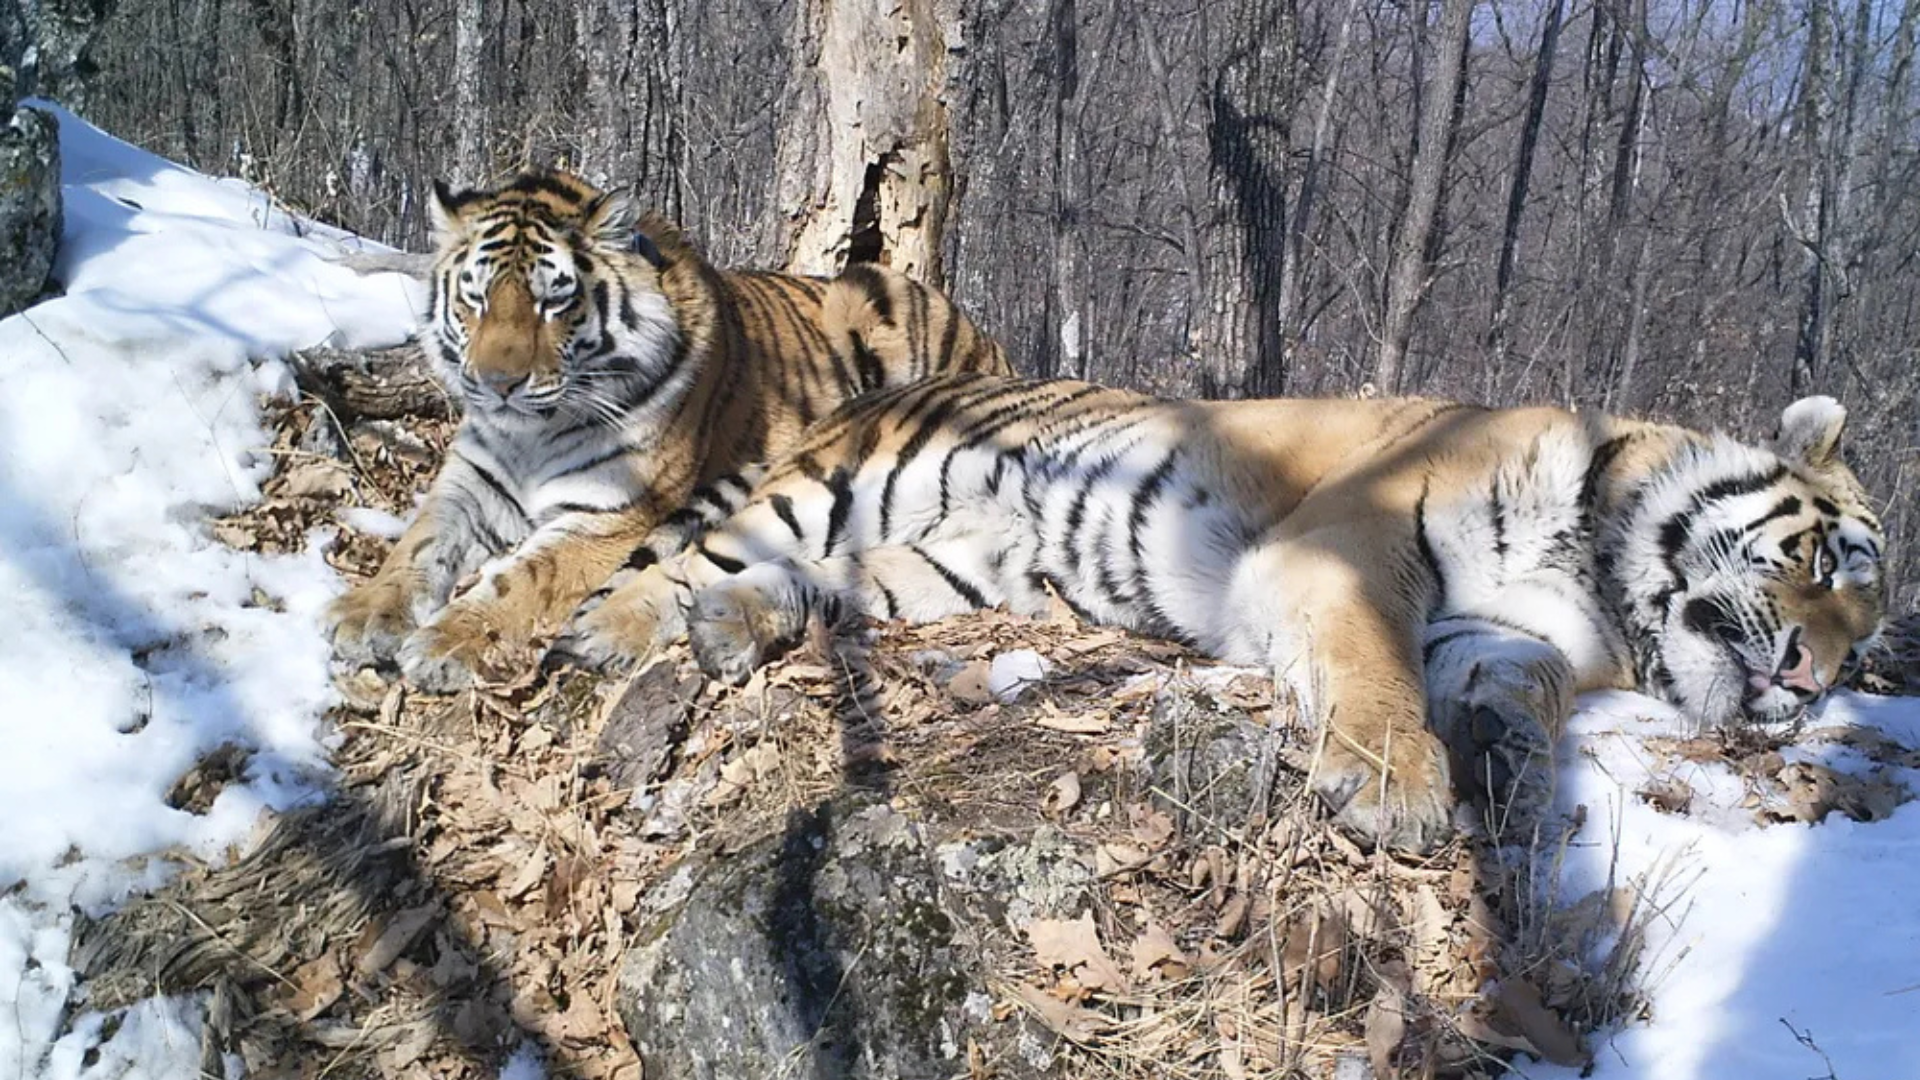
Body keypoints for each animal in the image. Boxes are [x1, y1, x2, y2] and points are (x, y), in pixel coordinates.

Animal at [326, 170, 1021, 687]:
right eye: (476, 297)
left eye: (553, 300)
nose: (497, 384)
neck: (531, 435)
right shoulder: (470, 482)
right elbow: (417, 544)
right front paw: (363, 614)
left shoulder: (607, 515)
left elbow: (520, 581)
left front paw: (445, 642)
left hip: (872, 298)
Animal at [549, 374, 1881, 853]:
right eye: (1826, 563)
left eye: (1868, 638)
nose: (1816, 681)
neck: (1599, 570)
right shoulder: (1348, 546)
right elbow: (1375, 669)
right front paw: (1395, 790)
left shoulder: (1508, 630)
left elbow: (1521, 685)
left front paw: (1507, 758)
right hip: (839, 487)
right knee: (676, 560)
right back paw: (613, 632)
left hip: (942, 570)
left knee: (811, 589)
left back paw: (735, 627)